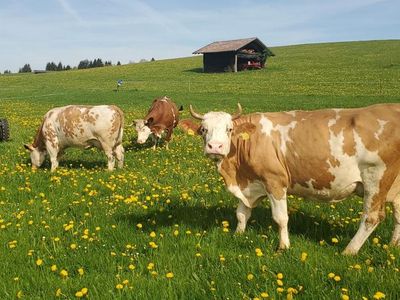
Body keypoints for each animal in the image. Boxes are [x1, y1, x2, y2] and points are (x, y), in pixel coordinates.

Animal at [190, 103, 400, 255]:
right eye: (203, 129)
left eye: (229, 129)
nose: (215, 147)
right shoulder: (252, 183)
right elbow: (242, 213)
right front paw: (238, 234)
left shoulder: (275, 181)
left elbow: (281, 218)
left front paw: (283, 246)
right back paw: (393, 245)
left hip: (375, 178)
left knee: (372, 217)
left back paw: (349, 251)